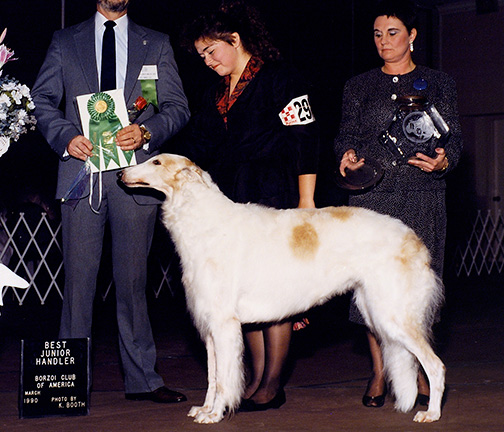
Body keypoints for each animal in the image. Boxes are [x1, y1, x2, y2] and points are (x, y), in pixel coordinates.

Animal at [121, 154, 444, 424]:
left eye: (156, 162)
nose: (121, 174)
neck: (202, 219)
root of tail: (414, 239)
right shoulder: (210, 326)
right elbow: (213, 377)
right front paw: (204, 408)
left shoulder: (224, 325)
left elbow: (225, 379)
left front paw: (214, 414)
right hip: (375, 309)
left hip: (393, 314)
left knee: (435, 365)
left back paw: (431, 413)